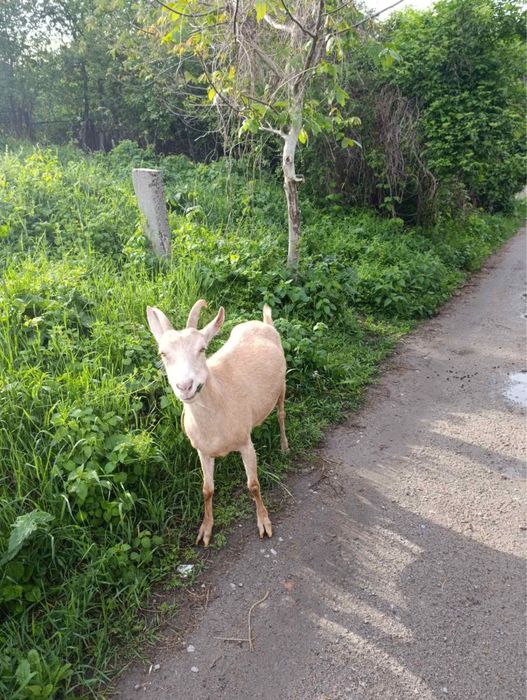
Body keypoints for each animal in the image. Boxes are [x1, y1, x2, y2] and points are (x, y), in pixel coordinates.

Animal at [146, 300, 288, 546]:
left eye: (202, 349)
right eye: (163, 353)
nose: (185, 386)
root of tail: (264, 323)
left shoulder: (245, 443)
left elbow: (253, 485)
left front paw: (264, 522)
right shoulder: (202, 451)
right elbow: (207, 490)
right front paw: (205, 530)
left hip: (282, 384)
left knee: (281, 413)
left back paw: (284, 446)